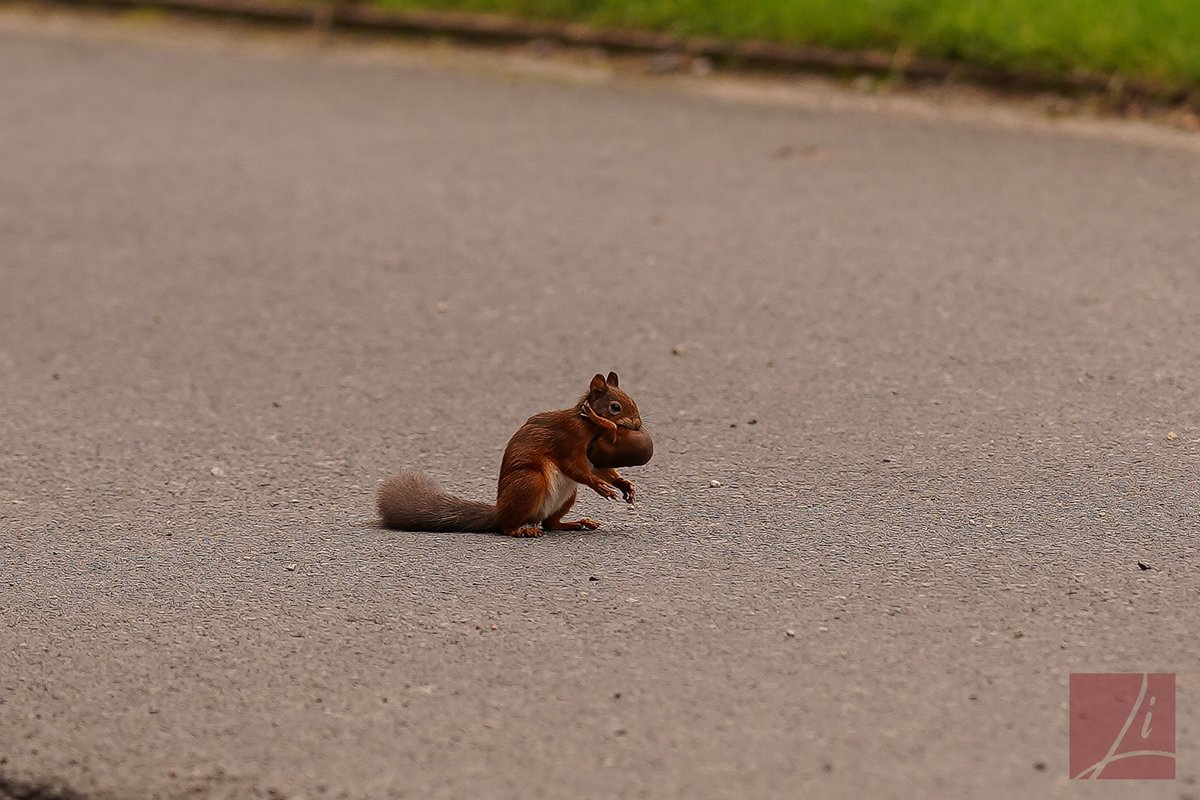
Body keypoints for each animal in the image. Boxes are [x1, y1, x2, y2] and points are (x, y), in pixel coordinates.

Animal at [381, 371, 648, 537]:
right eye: (615, 407)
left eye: (634, 401)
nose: (637, 425)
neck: (590, 427)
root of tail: (499, 511)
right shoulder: (567, 440)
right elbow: (575, 468)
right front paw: (602, 488)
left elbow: (601, 470)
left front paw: (625, 485)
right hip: (530, 481)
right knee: (510, 525)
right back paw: (522, 530)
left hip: (566, 495)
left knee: (550, 523)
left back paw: (578, 523)